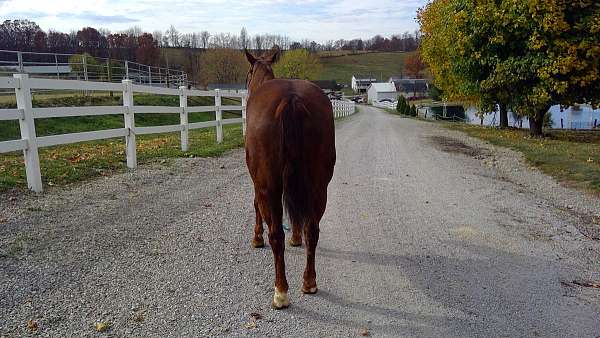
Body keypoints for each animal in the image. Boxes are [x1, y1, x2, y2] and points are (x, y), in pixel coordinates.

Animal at [244, 47, 338, 308]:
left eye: (247, 73)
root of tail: (291, 98)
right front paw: (295, 237)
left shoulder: (259, 184)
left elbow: (256, 205)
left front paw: (257, 238)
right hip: (319, 186)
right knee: (312, 229)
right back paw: (309, 282)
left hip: (269, 185)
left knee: (276, 234)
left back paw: (281, 291)